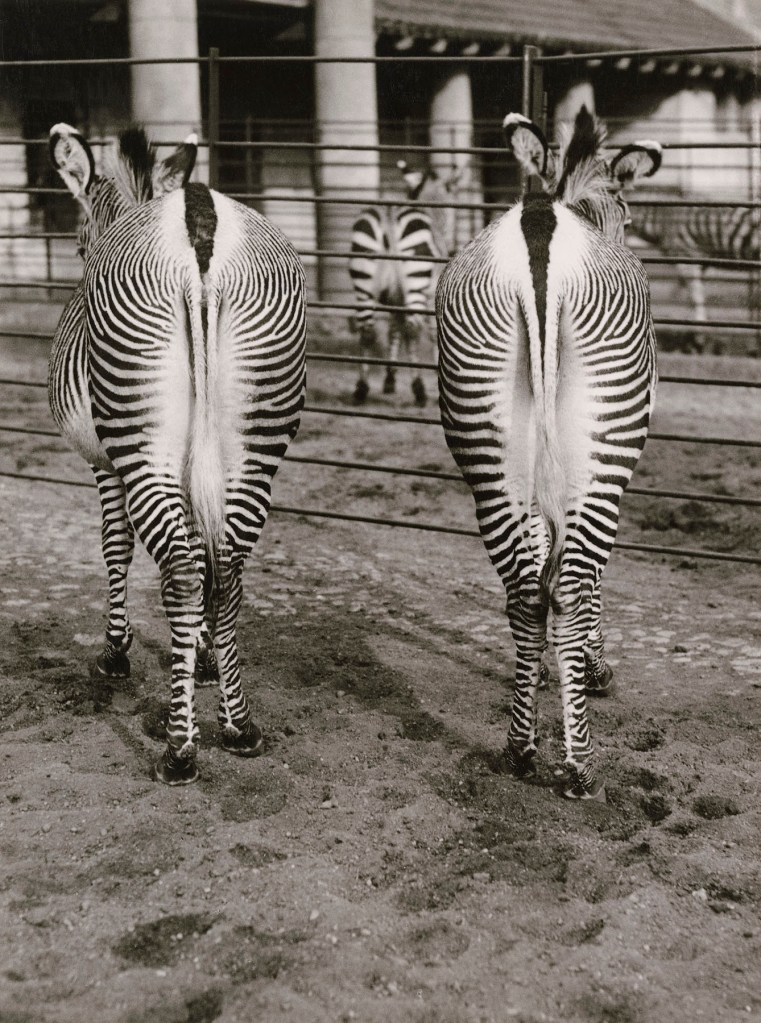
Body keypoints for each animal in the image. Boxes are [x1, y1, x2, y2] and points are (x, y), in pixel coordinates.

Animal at [49, 123, 307, 785]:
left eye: (77, 241)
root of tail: (198, 221)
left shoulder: (106, 464)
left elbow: (116, 547)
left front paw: (116, 651)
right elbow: (202, 546)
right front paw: (204, 657)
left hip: (140, 437)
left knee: (186, 570)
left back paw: (180, 746)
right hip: (256, 437)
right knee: (226, 568)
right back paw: (238, 726)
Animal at [349, 162, 459, 407]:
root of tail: (390, 213)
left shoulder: (395, 299)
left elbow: (393, 331)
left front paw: (390, 378)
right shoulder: (431, 295)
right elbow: (430, 333)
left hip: (363, 281)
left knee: (367, 331)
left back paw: (361, 388)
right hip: (416, 278)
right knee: (412, 329)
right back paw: (419, 390)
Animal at [436, 107, 661, 801]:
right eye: (626, 211)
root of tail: (541, 239)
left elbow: (538, 561)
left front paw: (541, 675)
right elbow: (588, 581)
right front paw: (590, 666)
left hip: (488, 442)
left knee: (526, 590)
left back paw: (519, 747)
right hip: (604, 443)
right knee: (575, 581)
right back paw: (579, 767)